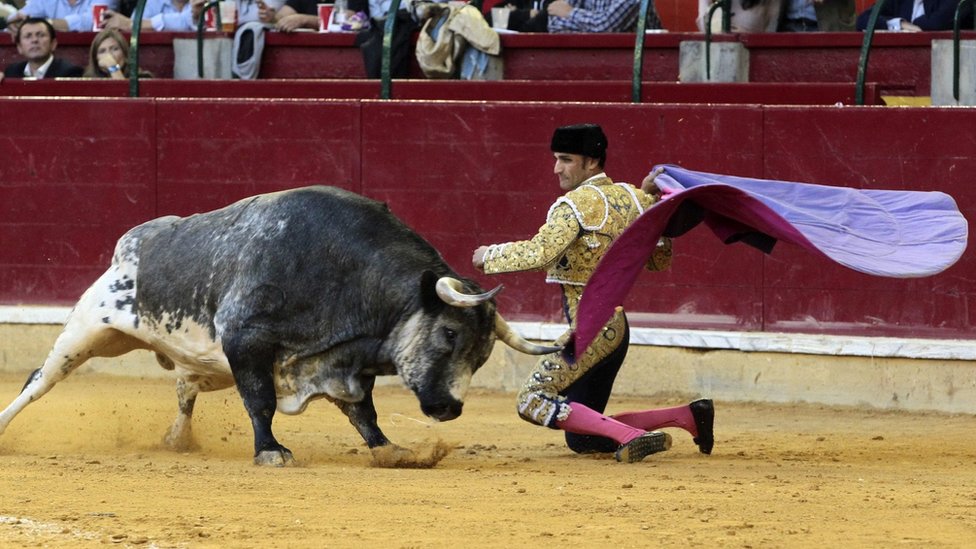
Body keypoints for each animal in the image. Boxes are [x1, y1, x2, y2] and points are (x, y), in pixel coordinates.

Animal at [0, 186, 556, 464]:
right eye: (449, 334)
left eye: (482, 356)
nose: (448, 408)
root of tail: (129, 244)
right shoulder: (247, 342)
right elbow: (261, 401)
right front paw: (270, 451)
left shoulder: (343, 362)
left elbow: (364, 412)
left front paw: (390, 450)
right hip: (87, 331)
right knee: (38, 381)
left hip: (201, 362)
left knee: (184, 389)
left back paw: (177, 440)